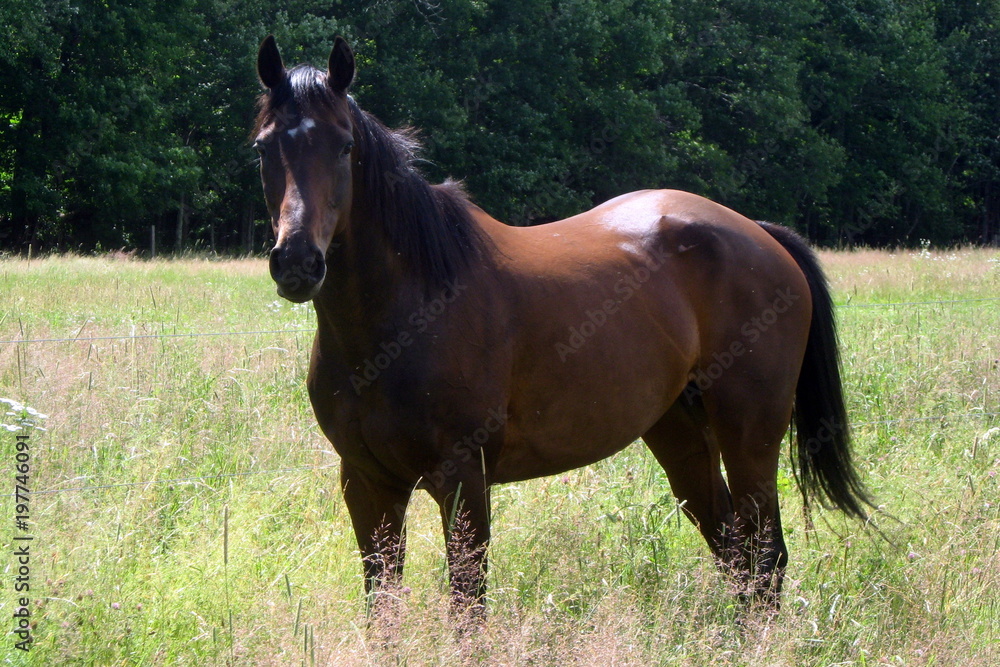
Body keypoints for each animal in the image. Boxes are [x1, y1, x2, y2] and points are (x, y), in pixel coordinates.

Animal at [252, 35, 870, 611]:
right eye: (263, 147)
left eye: (345, 146)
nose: (298, 262)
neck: (401, 317)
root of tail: (762, 235)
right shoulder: (366, 482)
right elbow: (383, 606)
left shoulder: (463, 478)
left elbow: (467, 605)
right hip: (679, 433)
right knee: (735, 553)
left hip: (751, 440)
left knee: (766, 559)